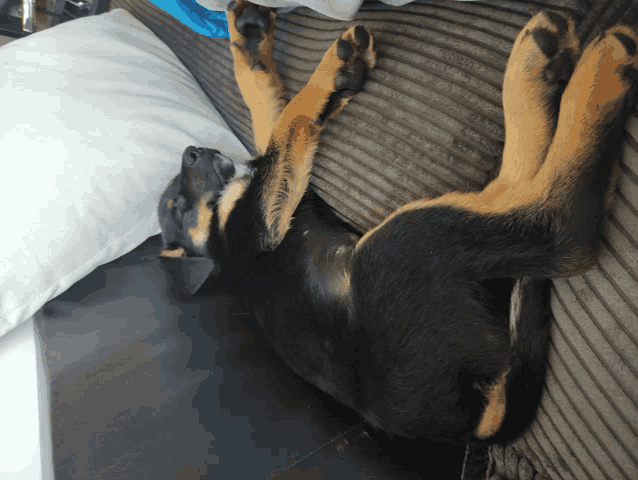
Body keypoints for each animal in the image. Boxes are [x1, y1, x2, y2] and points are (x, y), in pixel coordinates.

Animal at [158, 0, 636, 444]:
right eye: (176, 206)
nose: (191, 152)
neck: (219, 230)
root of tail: (474, 424)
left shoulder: (280, 187)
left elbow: (274, 115)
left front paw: (252, 40)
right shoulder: (263, 219)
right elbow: (287, 121)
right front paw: (331, 71)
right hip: (400, 245)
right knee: (558, 226)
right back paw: (577, 66)